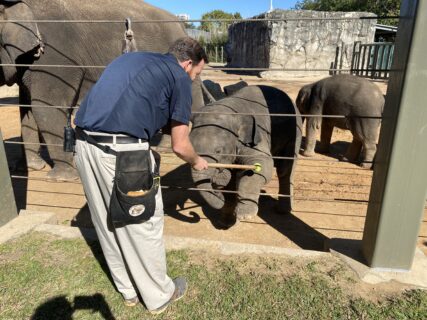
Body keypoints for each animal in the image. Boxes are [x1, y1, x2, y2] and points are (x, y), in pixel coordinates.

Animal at [0, 0, 192, 180]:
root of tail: (180, 23)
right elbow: (27, 110)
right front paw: (29, 167)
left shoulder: (56, 55)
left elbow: (46, 108)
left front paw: (61, 178)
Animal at [191, 85, 304, 222]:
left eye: (218, 151)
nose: (218, 194)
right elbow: (231, 177)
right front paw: (225, 221)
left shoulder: (257, 135)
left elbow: (262, 165)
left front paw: (245, 215)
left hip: (295, 132)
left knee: (285, 170)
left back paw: (282, 211)